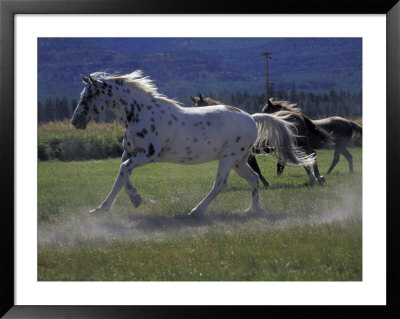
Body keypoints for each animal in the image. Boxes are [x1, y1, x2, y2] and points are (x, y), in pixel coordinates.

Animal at [72, 72, 316, 218]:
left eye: (88, 96)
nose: (75, 122)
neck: (139, 114)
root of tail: (251, 117)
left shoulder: (148, 155)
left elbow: (123, 172)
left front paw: (135, 200)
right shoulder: (129, 153)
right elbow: (121, 177)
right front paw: (102, 209)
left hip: (228, 158)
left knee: (220, 184)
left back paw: (196, 210)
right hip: (239, 161)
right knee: (254, 179)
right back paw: (252, 210)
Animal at [191, 94, 332, 186]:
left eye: (199, 106)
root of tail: (298, 116)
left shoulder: (249, 155)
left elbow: (257, 170)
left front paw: (266, 183)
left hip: (299, 143)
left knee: (311, 154)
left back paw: (318, 177)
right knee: (307, 157)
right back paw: (316, 177)